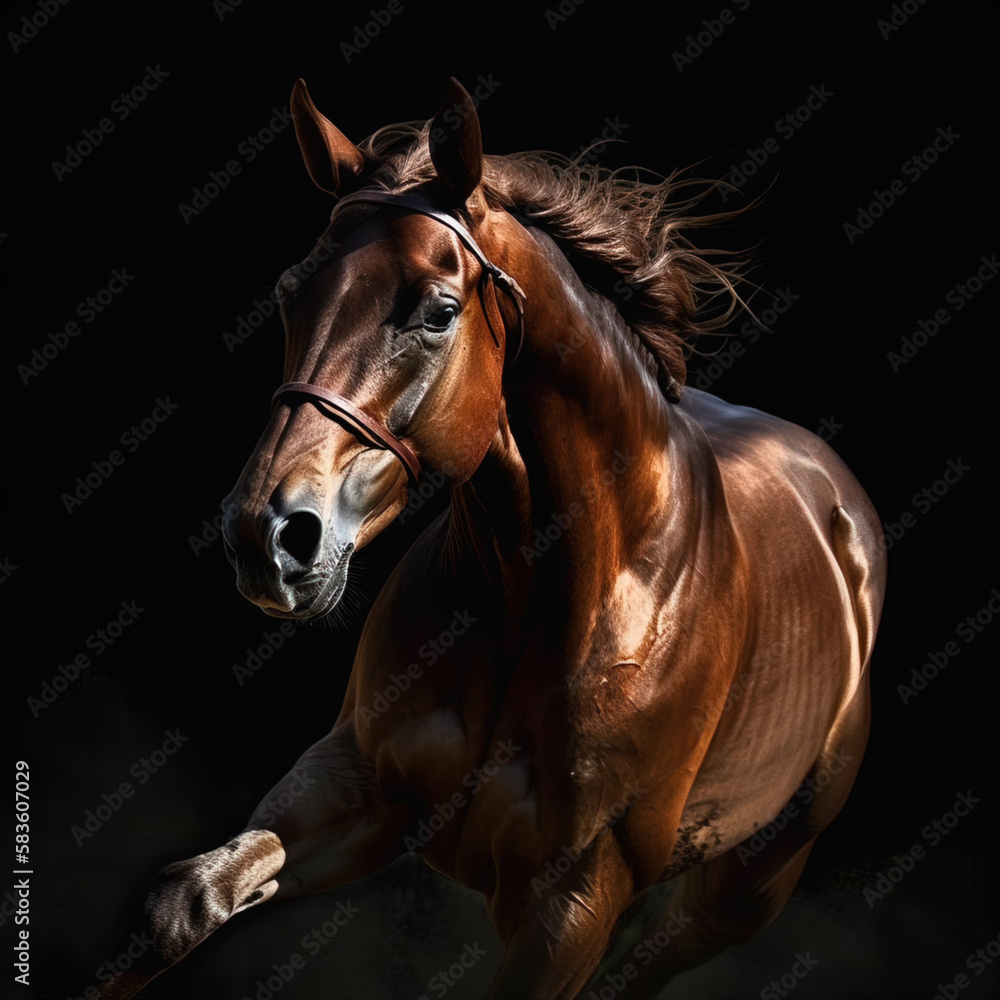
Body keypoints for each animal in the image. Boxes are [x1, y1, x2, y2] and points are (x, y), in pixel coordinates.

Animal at [91, 77, 886, 999]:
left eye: (438, 313)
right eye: (292, 292)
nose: (267, 536)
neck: (553, 593)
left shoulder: (571, 905)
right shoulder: (357, 788)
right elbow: (178, 909)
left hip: (748, 886)